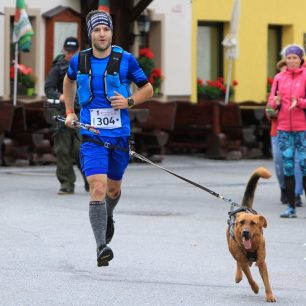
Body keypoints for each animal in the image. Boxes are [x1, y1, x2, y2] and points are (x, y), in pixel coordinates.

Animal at [226, 166, 276, 302]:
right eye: (242, 222)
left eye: (253, 223)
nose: (245, 232)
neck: (251, 247)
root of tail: (243, 207)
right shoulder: (243, 261)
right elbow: (249, 278)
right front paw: (255, 288)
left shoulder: (262, 262)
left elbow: (267, 282)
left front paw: (270, 295)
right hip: (232, 250)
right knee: (237, 262)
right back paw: (238, 276)